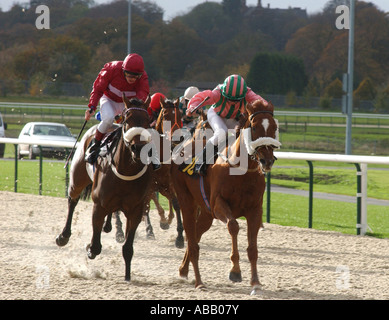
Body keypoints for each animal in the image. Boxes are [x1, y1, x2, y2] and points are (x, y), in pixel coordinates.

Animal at [56, 95, 153, 280]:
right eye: (128, 121)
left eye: (147, 121)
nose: (138, 148)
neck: (125, 169)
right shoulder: (99, 204)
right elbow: (95, 245)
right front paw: (89, 248)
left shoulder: (136, 210)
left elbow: (128, 248)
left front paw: (127, 276)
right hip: (77, 179)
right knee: (73, 201)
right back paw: (63, 236)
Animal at [171, 100, 278, 296]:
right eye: (254, 127)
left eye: (274, 127)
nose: (267, 161)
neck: (241, 170)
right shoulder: (218, 205)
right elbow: (233, 226)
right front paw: (235, 271)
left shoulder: (255, 210)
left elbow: (253, 248)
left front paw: (255, 282)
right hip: (187, 200)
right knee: (191, 237)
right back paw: (199, 282)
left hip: (206, 214)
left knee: (195, 235)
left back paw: (183, 270)